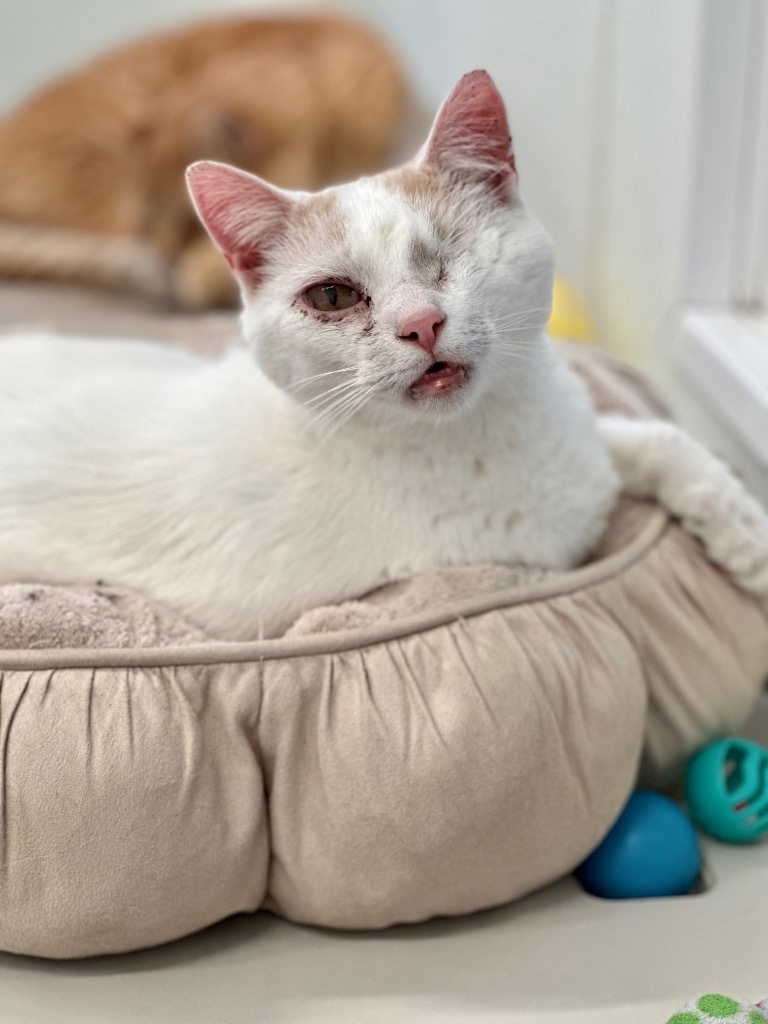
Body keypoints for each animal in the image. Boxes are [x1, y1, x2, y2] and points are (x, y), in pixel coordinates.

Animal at [1, 70, 768, 638]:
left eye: (448, 256)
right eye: (333, 297)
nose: (421, 325)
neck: (486, 437)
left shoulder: (582, 428)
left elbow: (658, 438)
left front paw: (746, 532)